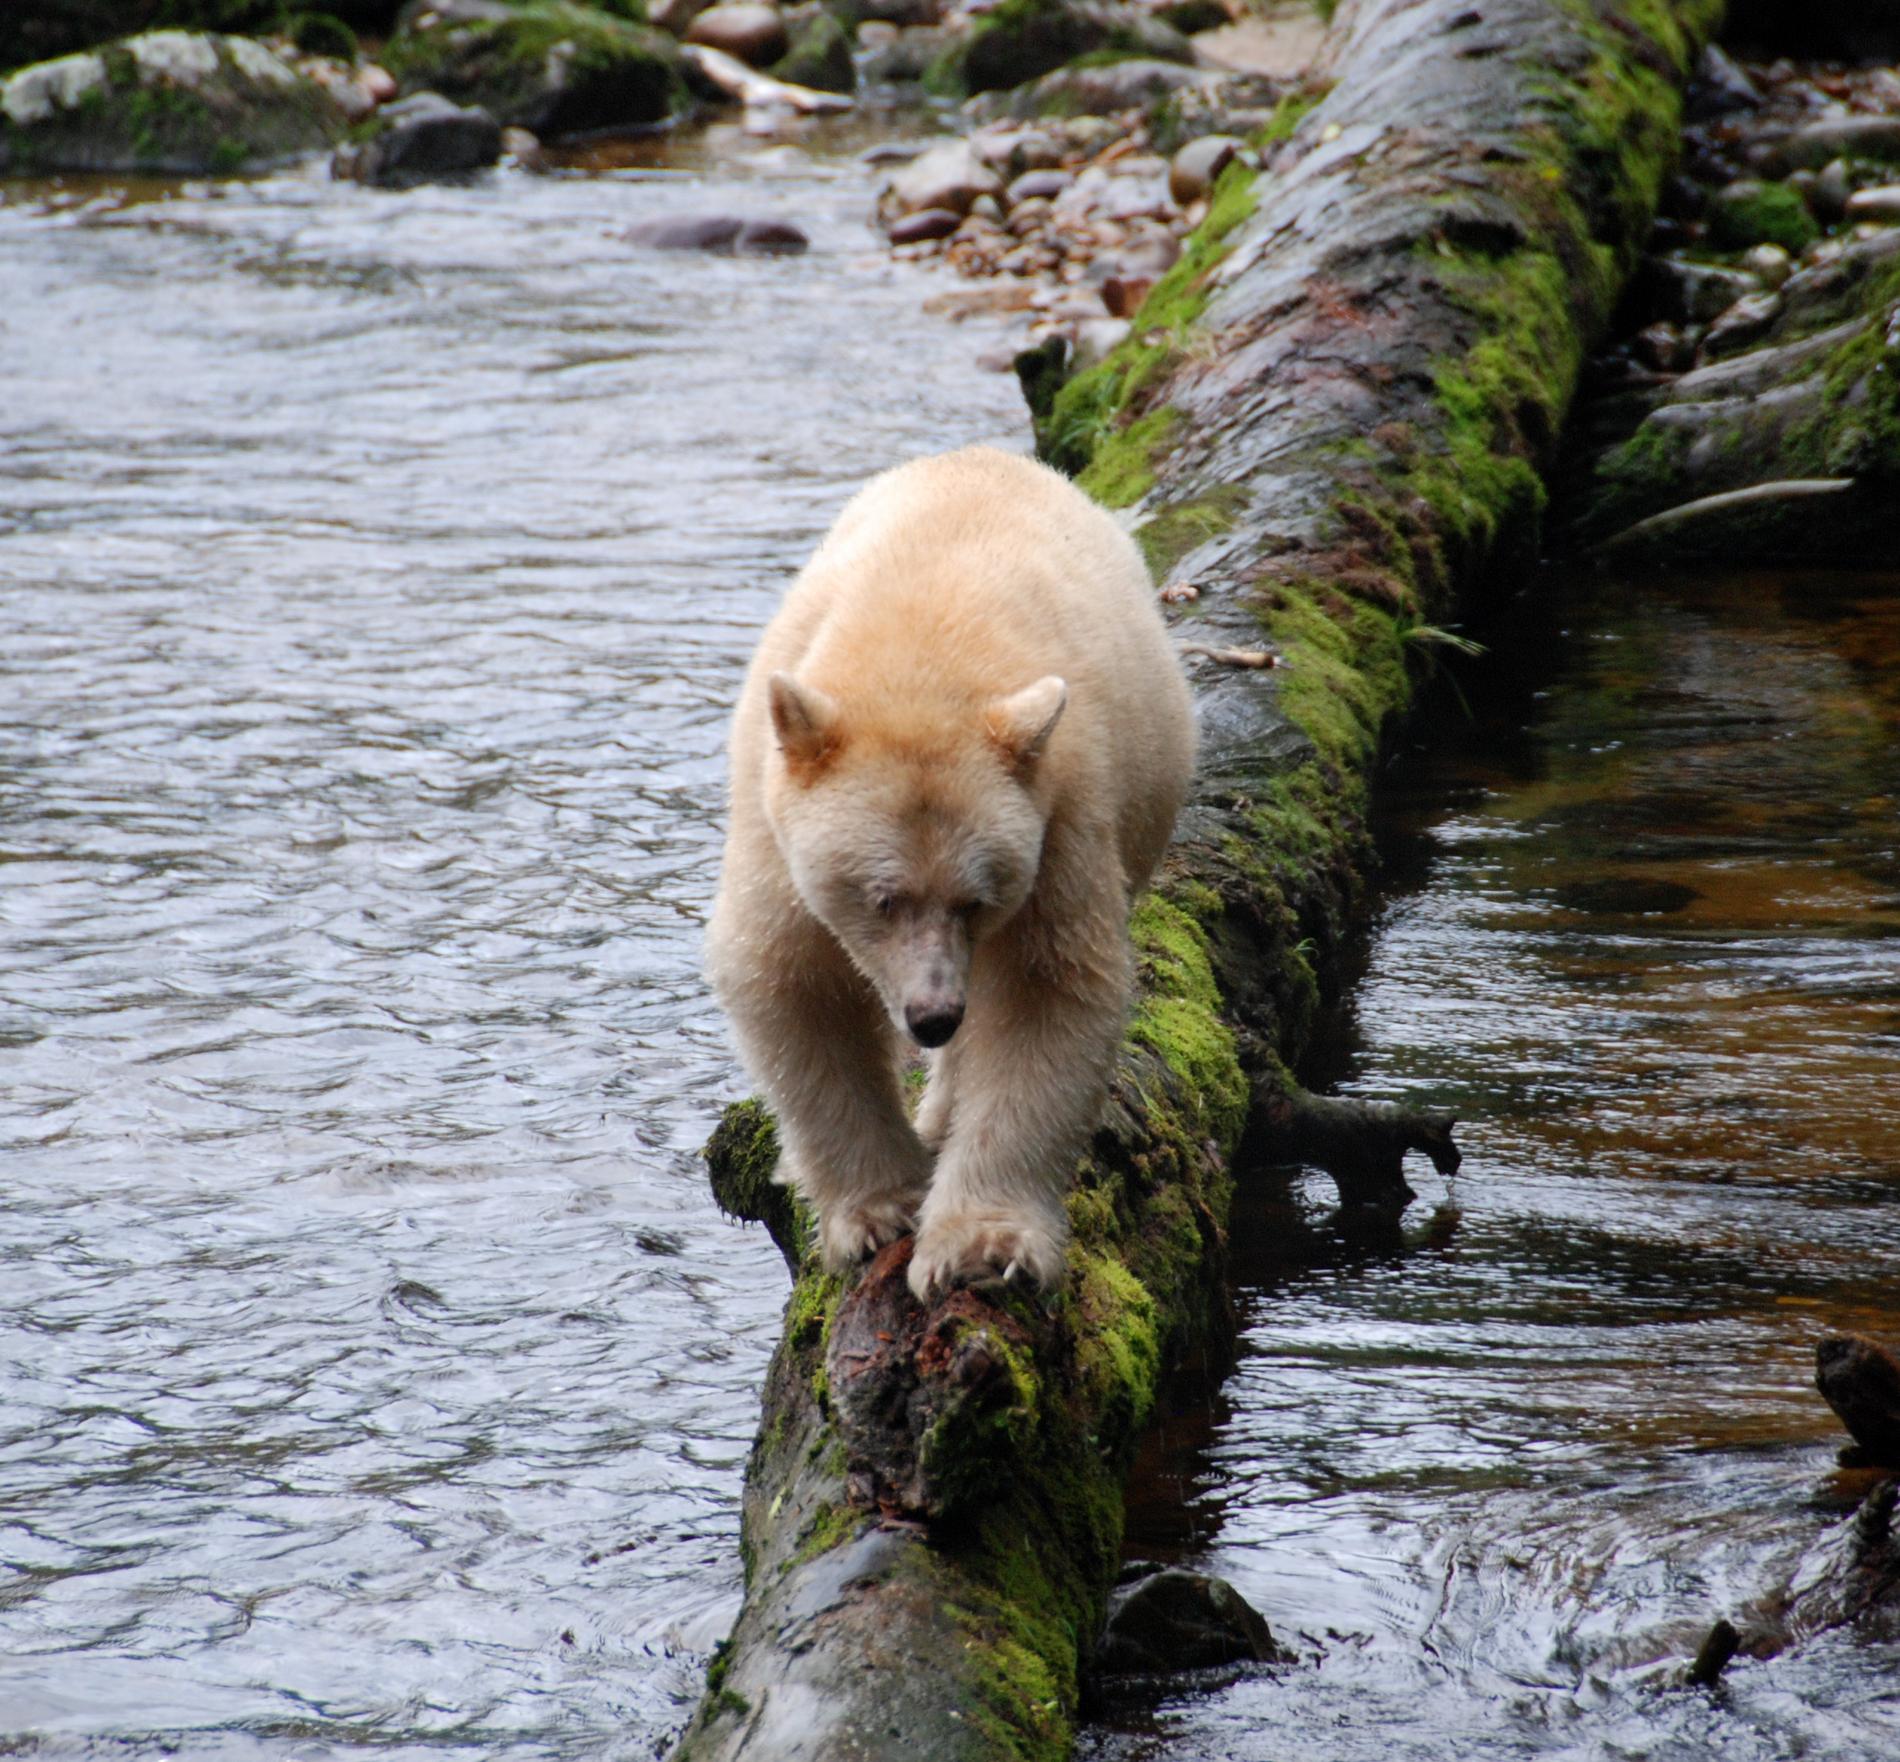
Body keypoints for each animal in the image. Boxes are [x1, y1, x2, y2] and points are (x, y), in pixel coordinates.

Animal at [706, 450, 1193, 1307]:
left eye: (975, 900)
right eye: (883, 899)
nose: (932, 1016)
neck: (920, 644)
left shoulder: (1060, 807)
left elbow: (1044, 989)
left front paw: (980, 1248)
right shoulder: (773, 815)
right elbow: (790, 976)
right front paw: (878, 1215)